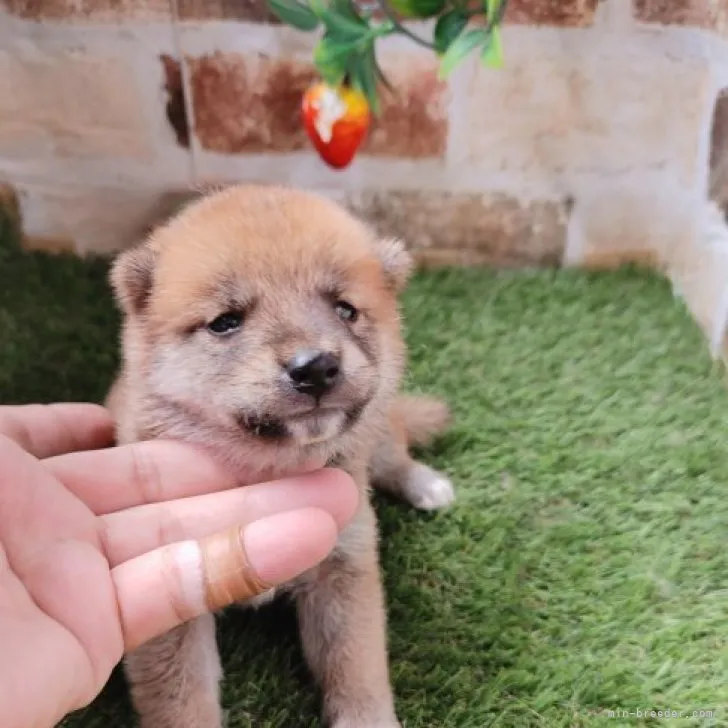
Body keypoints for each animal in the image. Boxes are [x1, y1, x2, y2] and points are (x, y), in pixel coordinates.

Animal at [106, 185, 456, 724]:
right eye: (226, 322)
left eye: (345, 309)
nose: (315, 367)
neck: (270, 469)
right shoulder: (172, 597)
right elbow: (183, 700)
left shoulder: (344, 563)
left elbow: (357, 669)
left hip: (376, 435)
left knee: (393, 449)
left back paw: (427, 484)